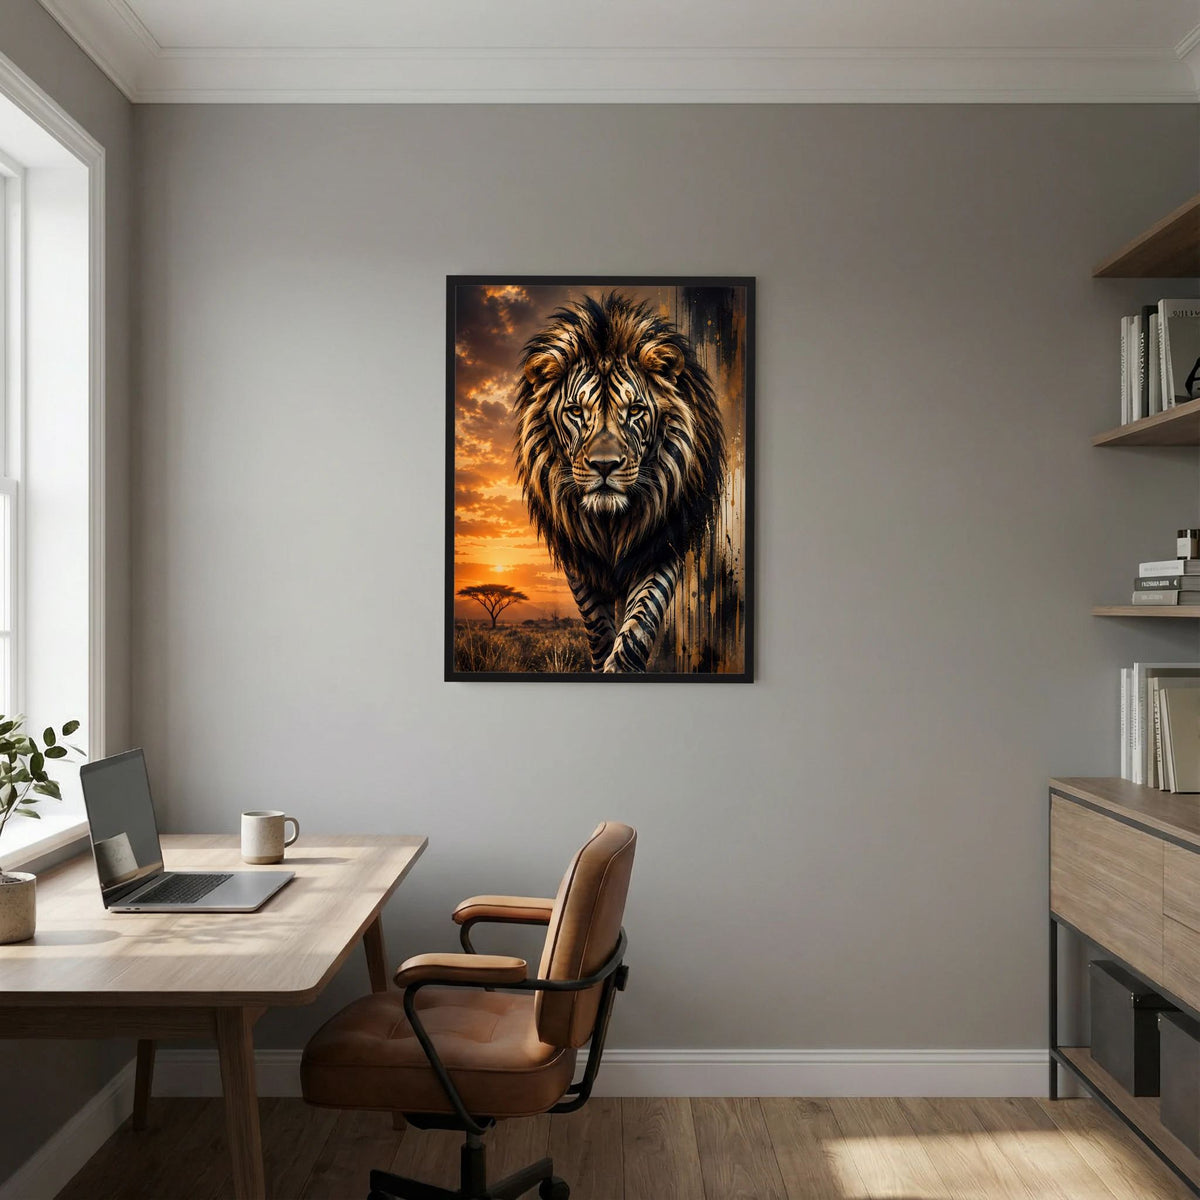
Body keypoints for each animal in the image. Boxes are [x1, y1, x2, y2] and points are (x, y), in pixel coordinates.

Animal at [513, 292, 726, 672]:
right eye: (576, 412)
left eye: (635, 410)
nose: (604, 466)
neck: (610, 523)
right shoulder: (579, 556)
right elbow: (598, 629)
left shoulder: (662, 542)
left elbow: (640, 621)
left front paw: (623, 665)